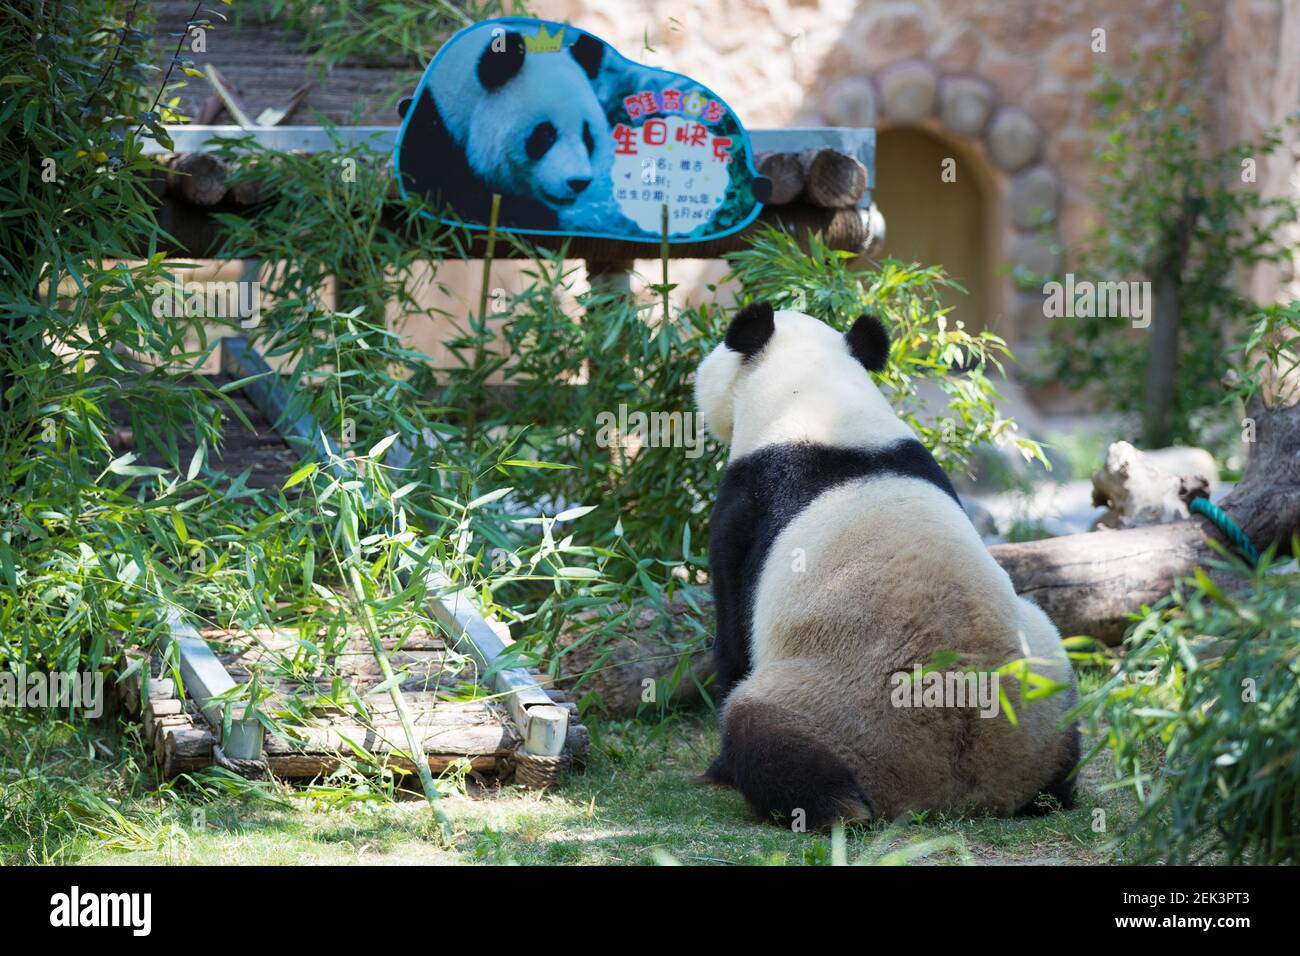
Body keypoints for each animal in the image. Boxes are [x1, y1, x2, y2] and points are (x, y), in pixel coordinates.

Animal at [696, 303, 1081, 827]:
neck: (814, 395)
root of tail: (958, 788)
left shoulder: (745, 506)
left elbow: (734, 632)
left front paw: (716, 770)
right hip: (1046, 692)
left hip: (831, 708)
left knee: (767, 736)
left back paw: (833, 805)